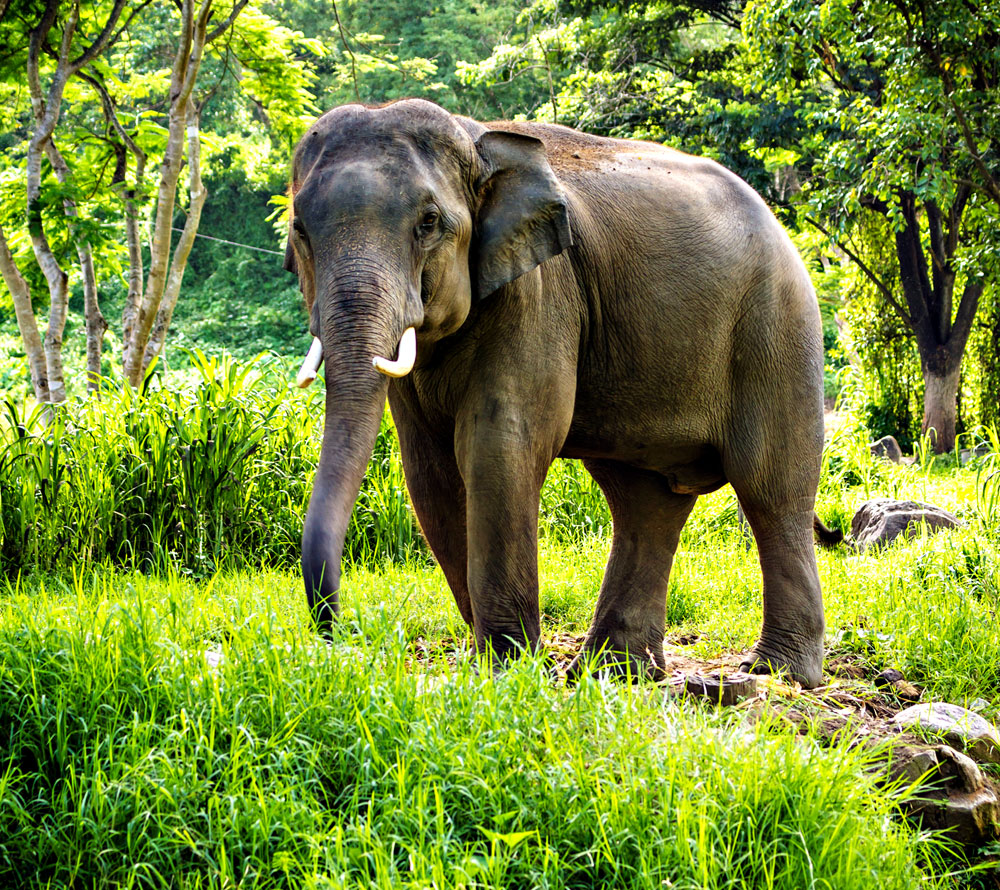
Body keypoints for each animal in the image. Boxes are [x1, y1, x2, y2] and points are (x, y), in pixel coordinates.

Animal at [286, 100, 832, 692]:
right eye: (299, 230)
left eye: (429, 223)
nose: (337, 637)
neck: (477, 143)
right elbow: (429, 470)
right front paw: (497, 664)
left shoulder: (540, 293)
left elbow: (501, 444)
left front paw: (506, 670)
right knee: (645, 503)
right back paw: (616, 670)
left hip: (778, 328)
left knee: (770, 487)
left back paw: (777, 672)